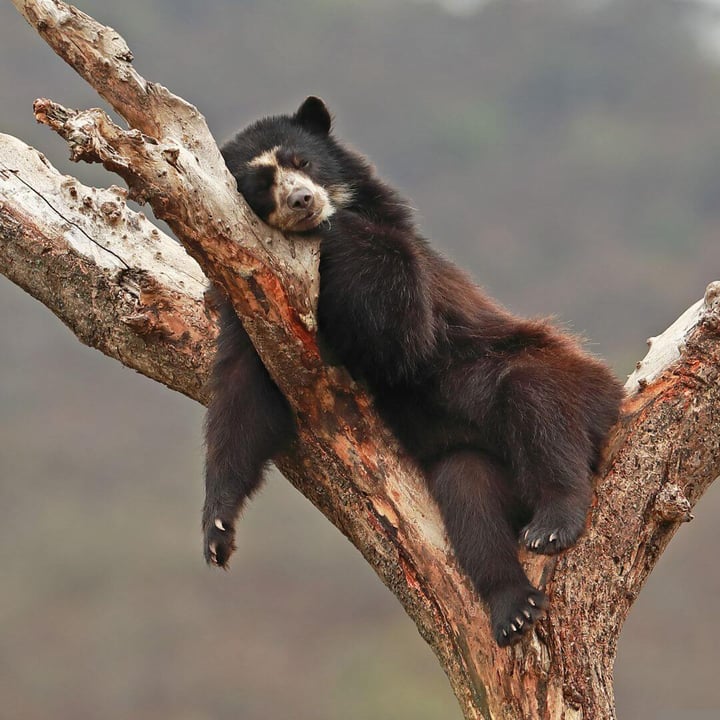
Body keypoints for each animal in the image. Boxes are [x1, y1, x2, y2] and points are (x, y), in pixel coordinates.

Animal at [202, 95, 624, 648]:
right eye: (260, 184)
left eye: (303, 162)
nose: (302, 201)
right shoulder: (255, 301)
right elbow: (243, 396)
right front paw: (217, 532)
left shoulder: (405, 269)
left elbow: (403, 334)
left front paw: (339, 227)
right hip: (478, 463)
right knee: (467, 492)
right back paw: (513, 607)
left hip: (572, 378)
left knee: (537, 397)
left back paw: (553, 522)